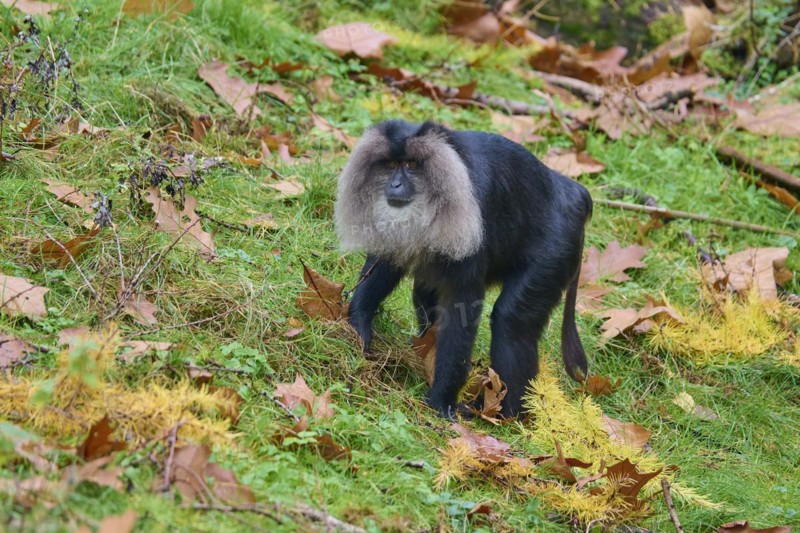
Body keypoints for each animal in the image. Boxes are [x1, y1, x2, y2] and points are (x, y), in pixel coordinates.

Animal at [335, 120, 592, 418]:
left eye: (411, 164)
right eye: (390, 164)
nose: (395, 184)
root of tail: (573, 194)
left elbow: (462, 306)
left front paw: (441, 401)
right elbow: (386, 264)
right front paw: (359, 327)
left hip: (555, 252)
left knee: (512, 320)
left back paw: (507, 414)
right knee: (424, 294)